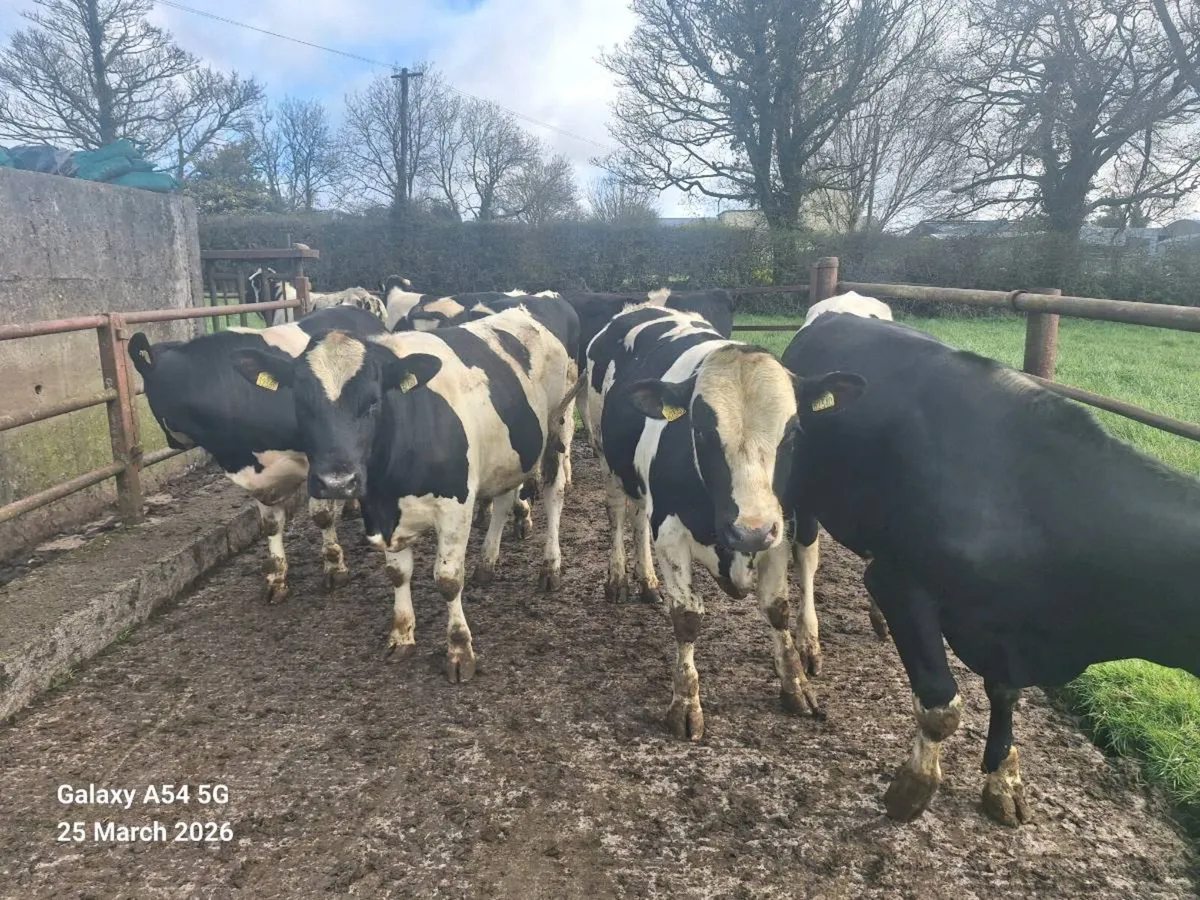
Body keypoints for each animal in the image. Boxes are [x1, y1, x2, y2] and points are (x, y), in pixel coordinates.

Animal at [127, 305, 388, 601]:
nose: (173, 443)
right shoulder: (260, 477)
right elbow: (271, 524)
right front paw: (276, 579)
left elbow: (321, 515)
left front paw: (334, 568)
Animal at [228, 306, 577, 683]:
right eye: (301, 403)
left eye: (373, 401)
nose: (337, 481)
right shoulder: (380, 512)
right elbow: (397, 574)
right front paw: (402, 635)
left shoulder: (455, 507)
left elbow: (448, 580)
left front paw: (459, 651)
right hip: (510, 453)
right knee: (502, 500)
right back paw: (487, 562)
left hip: (559, 428)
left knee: (553, 493)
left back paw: (550, 567)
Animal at [585, 303, 866, 740]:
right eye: (700, 431)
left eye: (792, 432)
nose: (748, 531)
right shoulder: (670, 532)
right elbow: (686, 618)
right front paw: (686, 703)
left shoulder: (778, 529)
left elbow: (778, 608)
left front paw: (795, 683)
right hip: (606, 455)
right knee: (618, 513)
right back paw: (619, 578)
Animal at [780, 312, 1200, 827]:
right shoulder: (902, 582)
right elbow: (941, 702)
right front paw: (913, 788)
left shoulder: (1010, 626)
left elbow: (1005, 694)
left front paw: (1003, 780)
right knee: (805, 554)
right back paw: (809, 641)